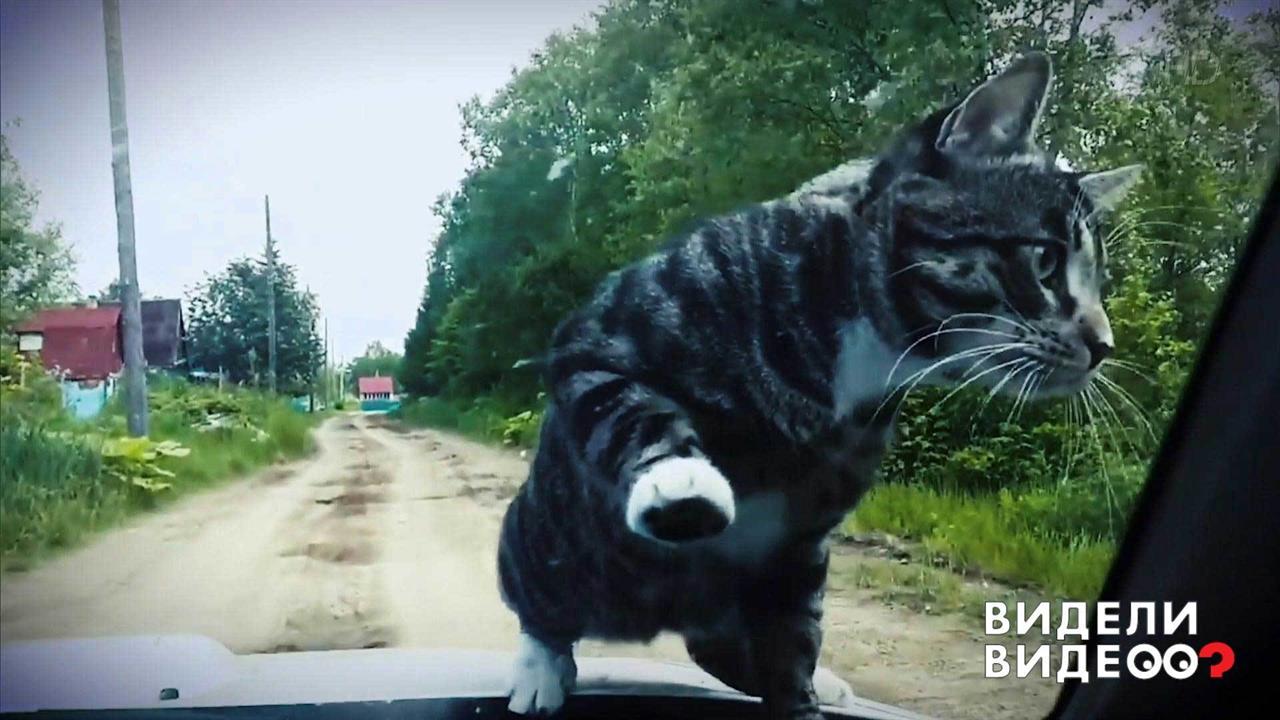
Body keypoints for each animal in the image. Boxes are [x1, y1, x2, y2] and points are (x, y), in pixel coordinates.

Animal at [497, 52, 1141, 719]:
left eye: (1099, 280)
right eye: (1045, 261)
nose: (1104, 344)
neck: (866, 350)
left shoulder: (801, 544)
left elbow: (793, 646)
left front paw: (802, 696)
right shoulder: (589, 343)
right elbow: (631, 407)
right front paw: (682, 479)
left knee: (722, 649)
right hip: (549, 548)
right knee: (542, 609)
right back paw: (543, 669)